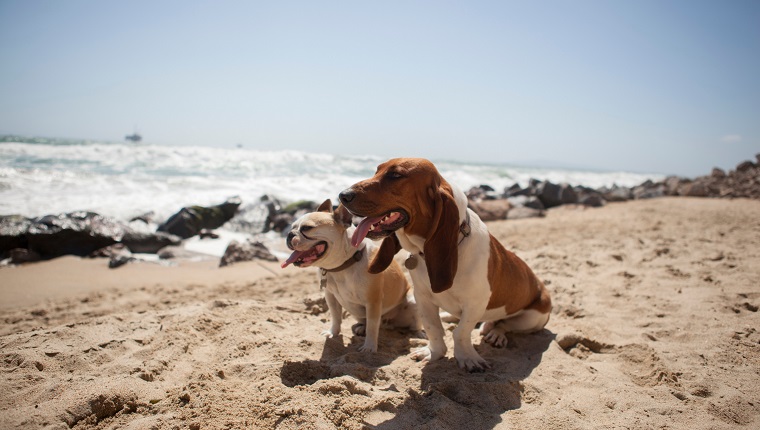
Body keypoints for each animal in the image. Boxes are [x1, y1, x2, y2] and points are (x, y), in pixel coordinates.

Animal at [282, 199, 422, 352]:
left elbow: (373, 325)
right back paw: (361, 328)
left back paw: (418, 334)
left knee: (415, 322)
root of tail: (388, 323)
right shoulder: (330, 296)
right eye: (292, 227)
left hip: (413, 301)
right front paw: (333, 333)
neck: (342, 266)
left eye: (307, 228)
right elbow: (336, 316)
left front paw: (369, 347)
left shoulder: (373, 301)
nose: (289, 234)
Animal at [342, 158, 548, 370]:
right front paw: (434, 353)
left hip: (533, 317)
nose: (343, 195)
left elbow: (461, 332)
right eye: (376, 171)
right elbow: (433, 328)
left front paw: (468, 358)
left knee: (504, 324)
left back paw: (496, 333)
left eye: (396, 175)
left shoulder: (475, 304)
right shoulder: (422, 298)